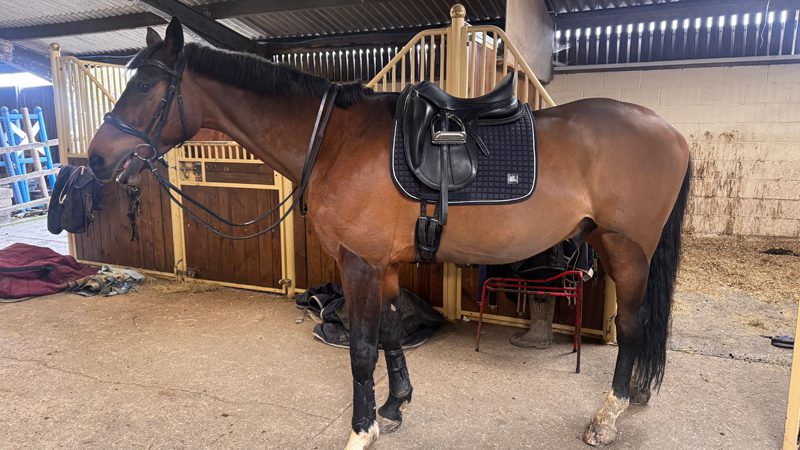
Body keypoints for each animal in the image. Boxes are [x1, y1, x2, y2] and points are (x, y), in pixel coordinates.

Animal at [87, 18, 691, 449]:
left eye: (146, 84)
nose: (96, 160)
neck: (335, 140)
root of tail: (671, 131)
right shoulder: (384, 264)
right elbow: (393, 334)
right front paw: (395, 406)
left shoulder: (359, 263)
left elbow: (360, 348)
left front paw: (361, 429)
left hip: (626, 249)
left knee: (631, 326)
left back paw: (608, 416)